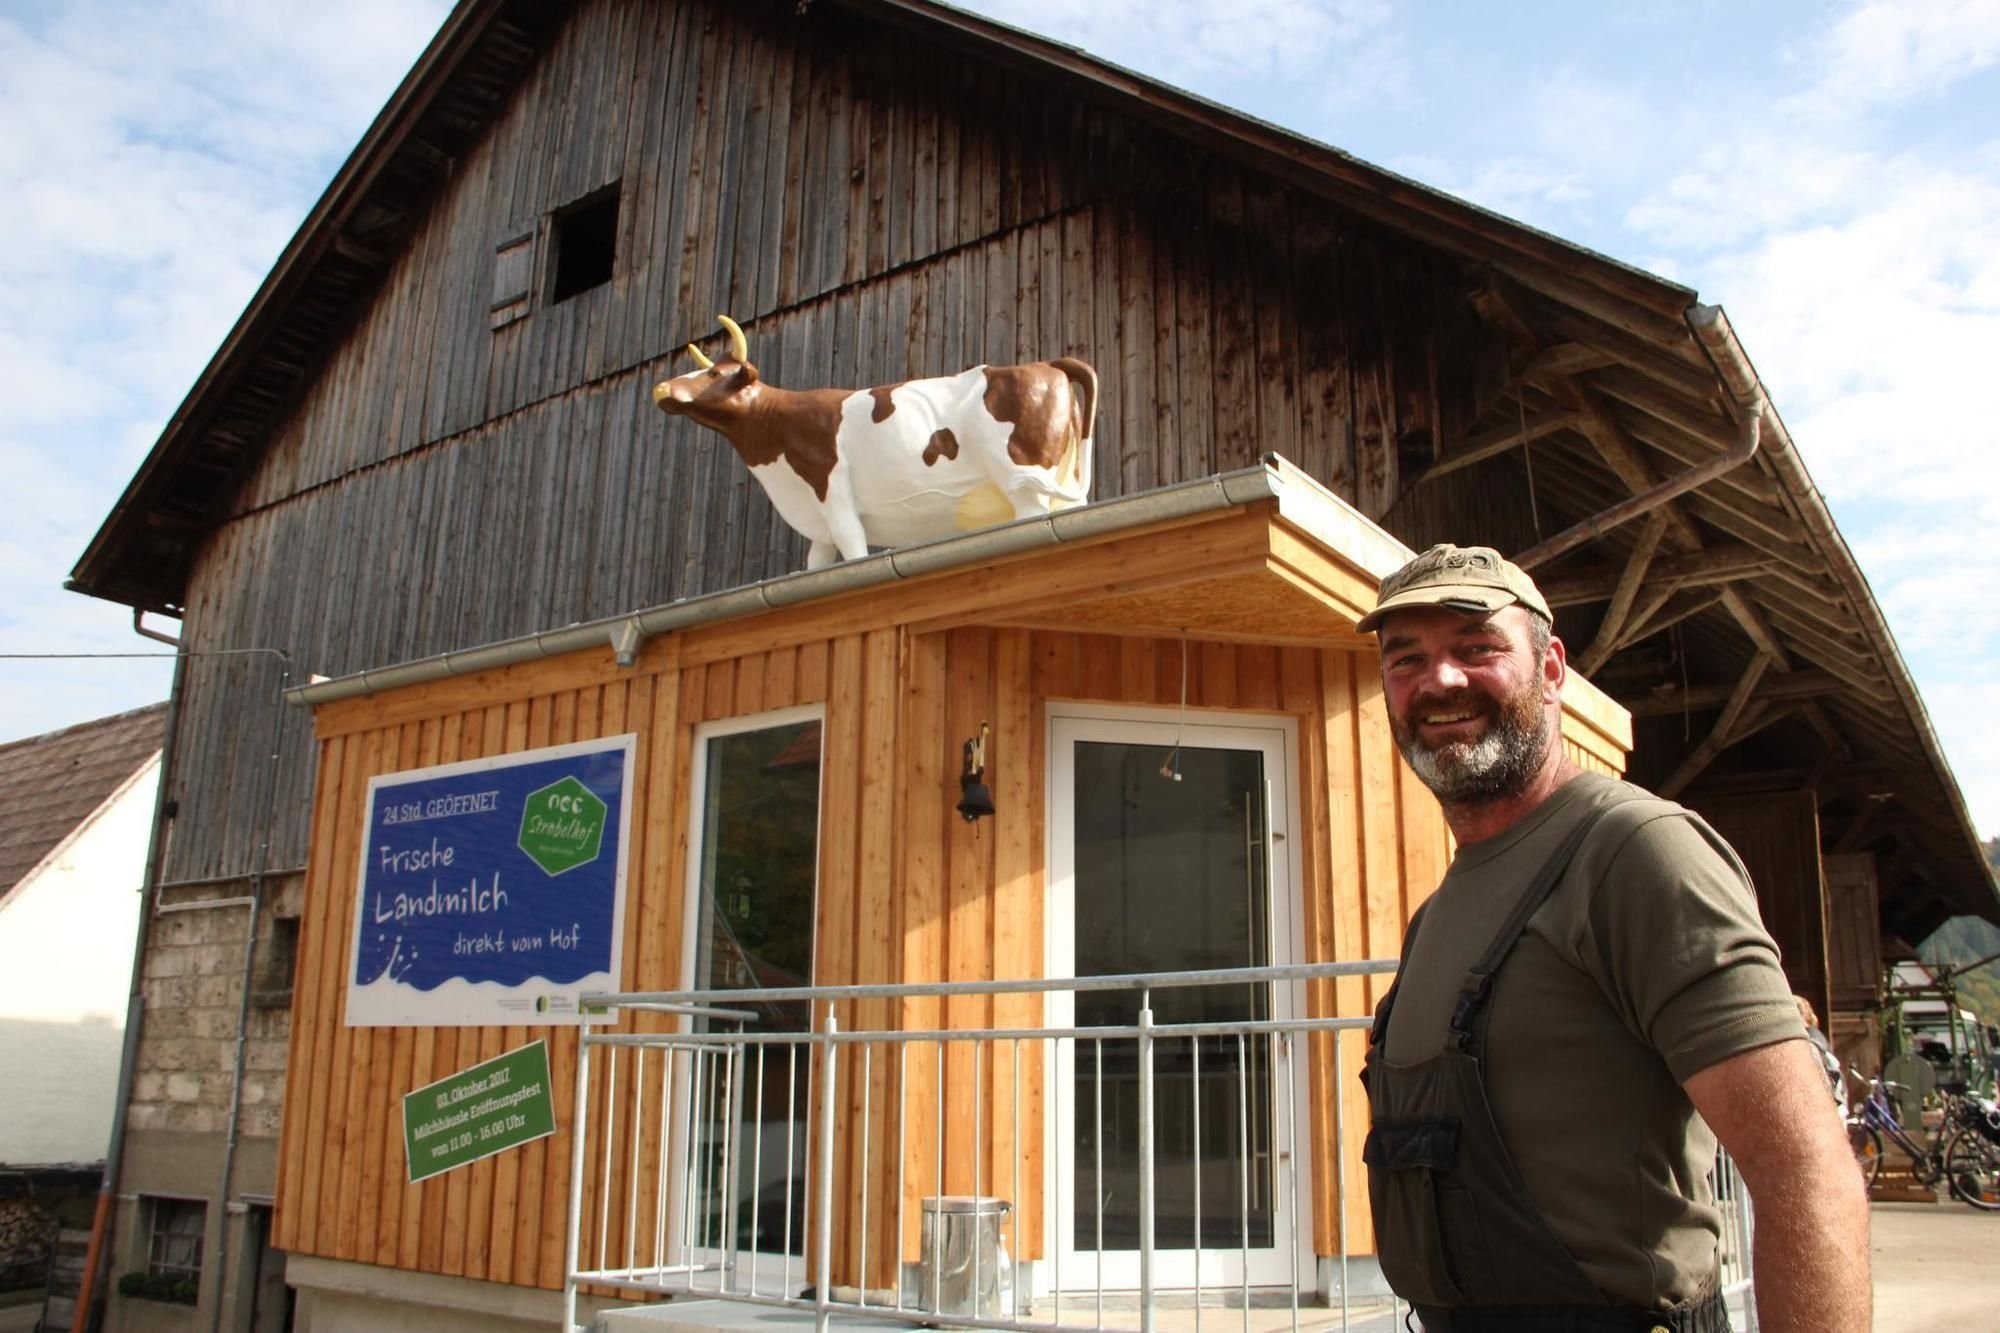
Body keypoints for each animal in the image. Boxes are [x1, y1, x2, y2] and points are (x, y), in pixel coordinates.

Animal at [652, 316, 1096, 564]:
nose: (661, 388)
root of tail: (1045, 364)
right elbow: (817, 560)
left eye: (713, 374)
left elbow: (852, 542)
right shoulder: (816, 523)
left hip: (1022, 480)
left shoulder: (831, 489)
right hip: (1064, 481)